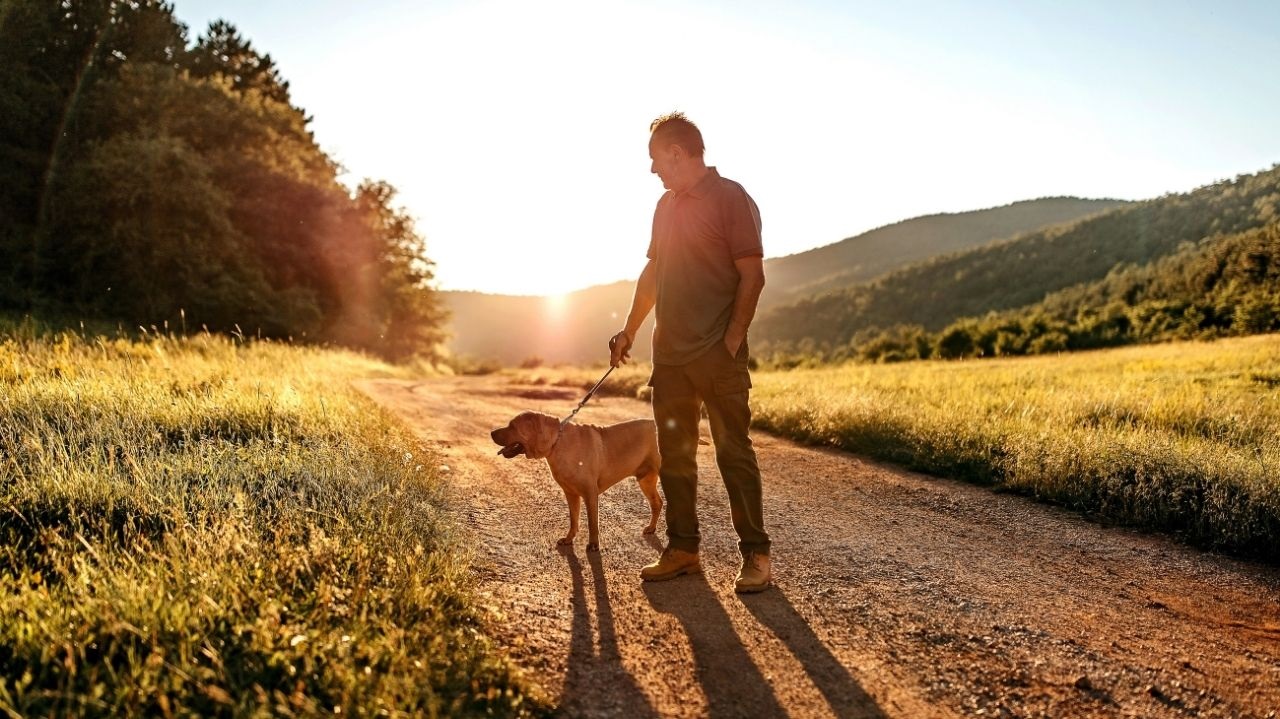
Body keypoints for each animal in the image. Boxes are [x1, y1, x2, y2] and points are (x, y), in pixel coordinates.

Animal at [488, 409, 660, 547]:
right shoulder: (570, 493)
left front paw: (593, 544)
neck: (556, 443)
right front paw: (568, 539)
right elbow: (573, 519)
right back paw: (651, 528)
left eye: (512, 426)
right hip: (645, 481)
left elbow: (592, 522)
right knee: (657, 503)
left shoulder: (590, 493)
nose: (491, 433)